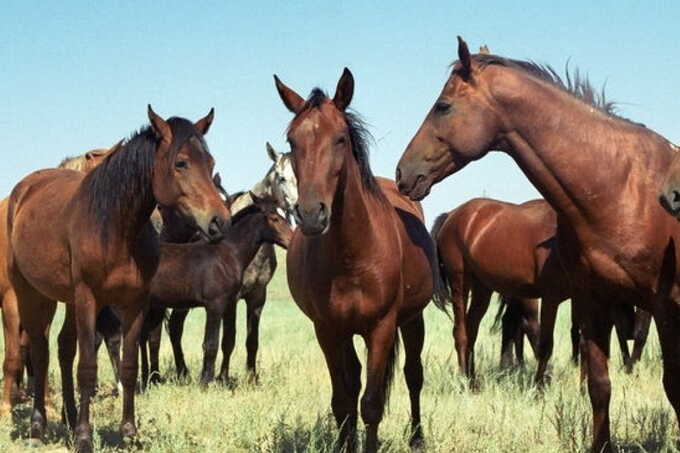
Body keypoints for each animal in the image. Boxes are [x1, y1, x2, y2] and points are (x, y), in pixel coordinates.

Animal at [7, 107, 231, 452]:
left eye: (210, 162)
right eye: (181, 163)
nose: (219, 222)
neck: (114, 227)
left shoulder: (135, 303)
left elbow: (128, 366)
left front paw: (129, 433)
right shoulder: (89, 298)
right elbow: (87, 367)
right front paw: (84, 437)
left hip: (67, 300)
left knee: (63, 348)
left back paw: (68, 416)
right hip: (32, 293)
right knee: (40, 350)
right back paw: (37, 426)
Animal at [274, 68, 444, 452]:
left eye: (340, 138)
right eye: (292, 141)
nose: (311, 214)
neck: (351, 255)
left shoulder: (381, 328)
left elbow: (372, 403)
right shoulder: (327, 329)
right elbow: (343, 399)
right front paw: (343, 444)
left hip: (412, 320)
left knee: (413, 375)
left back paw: (417, 437)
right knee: (352, 383)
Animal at [396, 37, 680, 450]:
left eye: (443, 106)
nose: (403, 173)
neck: (623, 190)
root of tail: (456, 216)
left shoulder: (658, 305)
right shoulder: (587, 299)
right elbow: (596, 381)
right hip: (469, 285)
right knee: (465, 331)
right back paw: (470, 383)